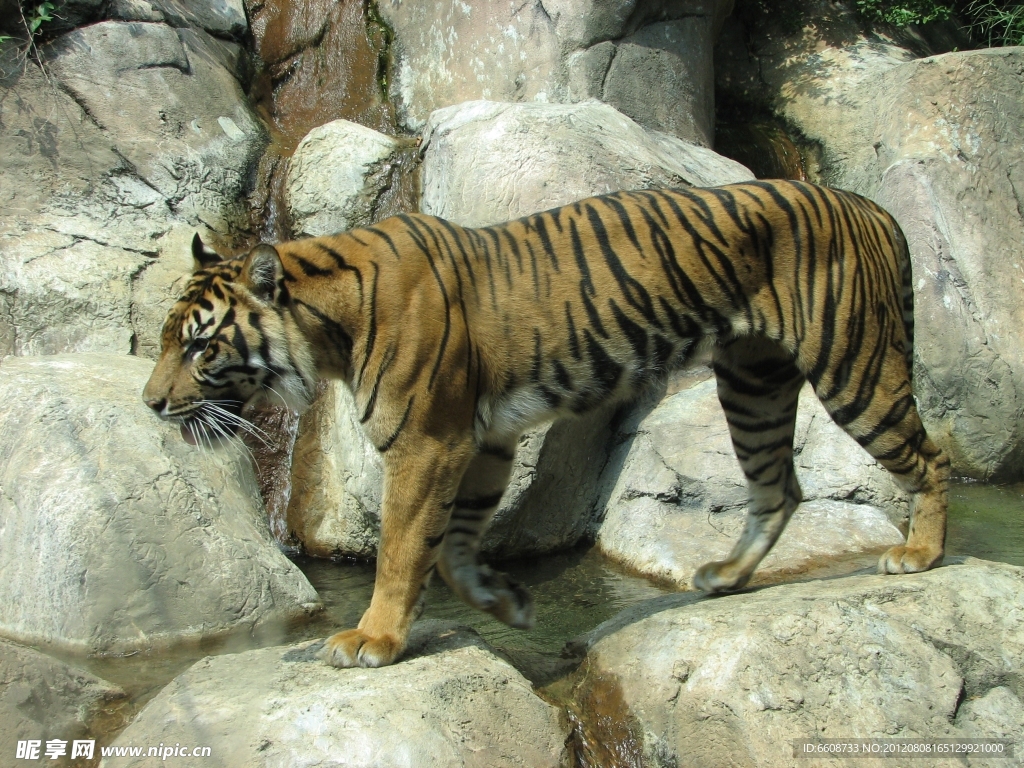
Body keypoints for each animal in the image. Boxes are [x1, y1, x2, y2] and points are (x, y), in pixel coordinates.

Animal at [143, 179, 950, 669]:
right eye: (166, 339)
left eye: (200, 346)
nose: (149, 403)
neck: (326, 330)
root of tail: (873, 206)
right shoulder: (485, 441)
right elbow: (450, 550)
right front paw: (503, 602)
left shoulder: (428, 443)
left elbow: (402, 548)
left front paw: (373, 638)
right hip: (754, 383)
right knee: (779, 488)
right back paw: (725, 576)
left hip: (854, 365)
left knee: (930, 457)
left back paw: (920, 555)